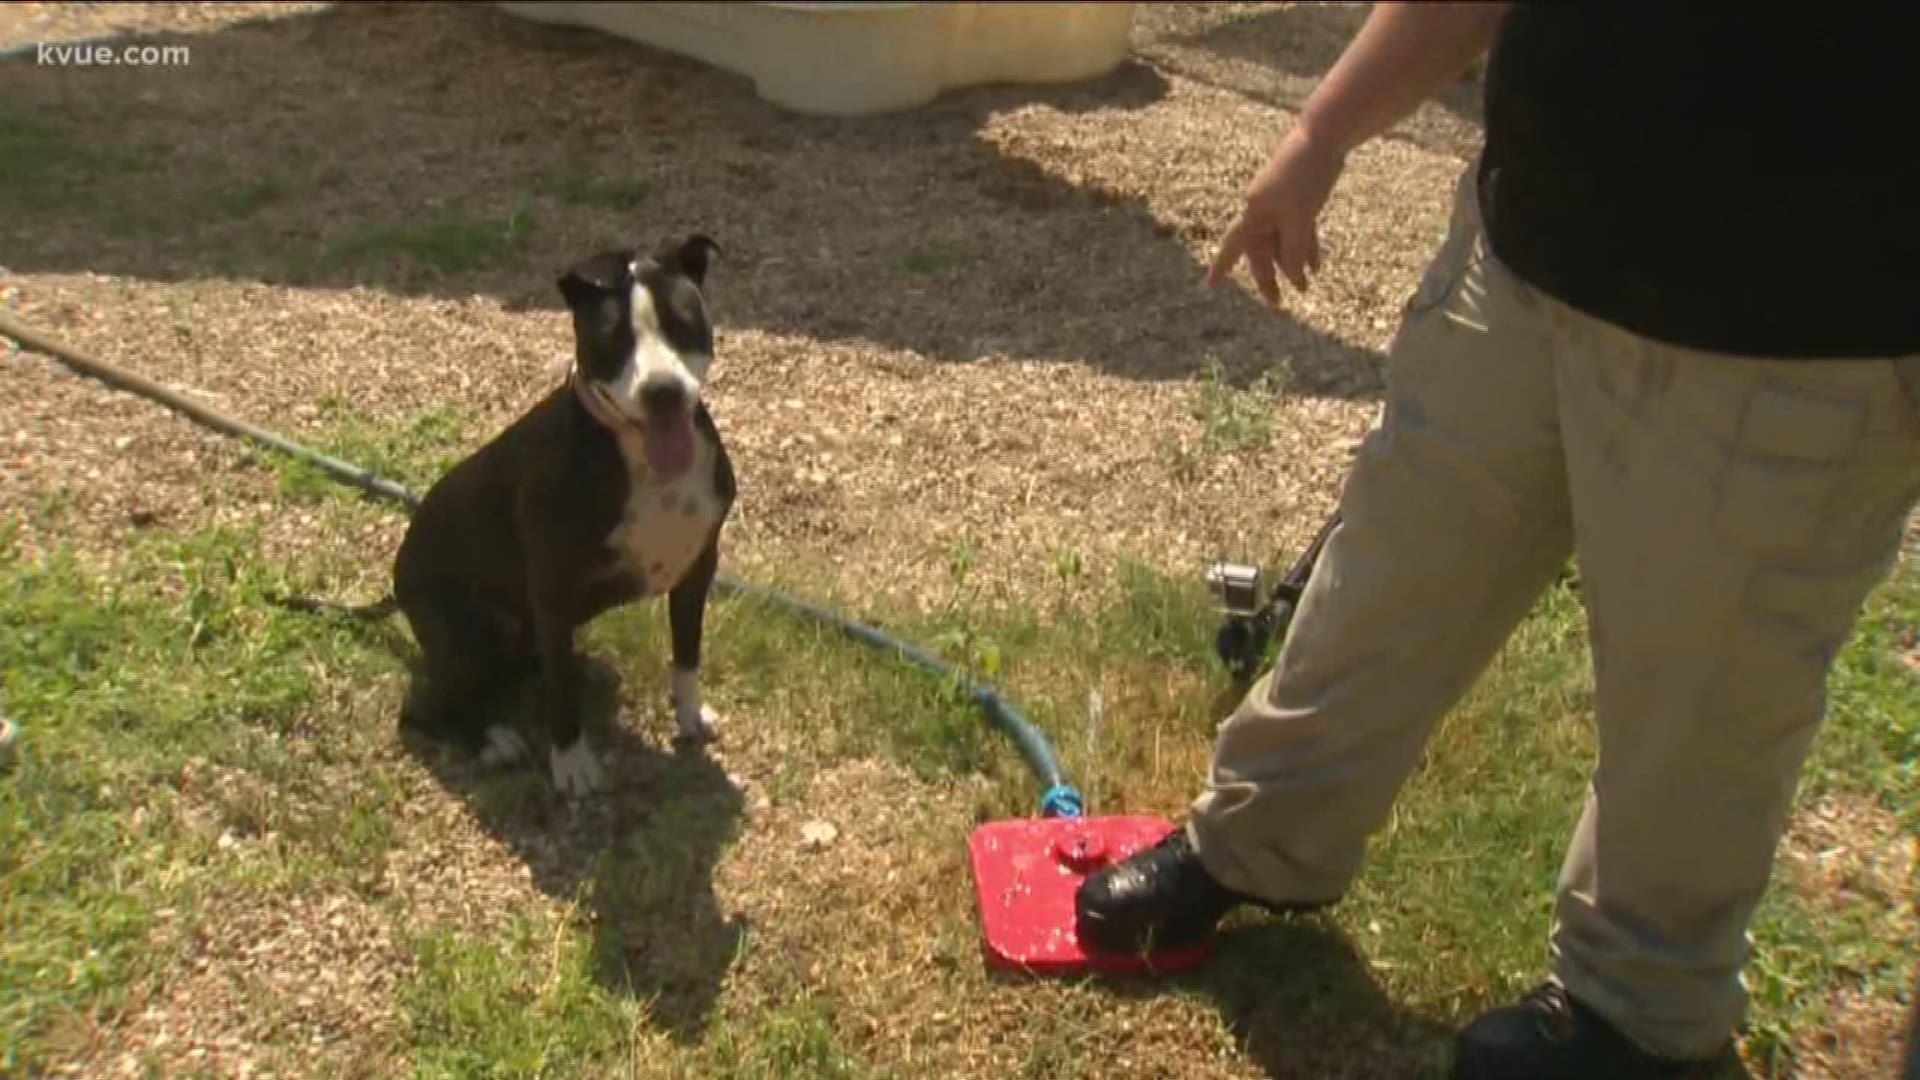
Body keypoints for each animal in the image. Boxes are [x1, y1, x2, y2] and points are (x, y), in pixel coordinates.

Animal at [368, 233, 733, 791]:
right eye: (612, 339)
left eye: (683, 322)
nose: (663, 391)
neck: (637, 457)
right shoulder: (554, 593)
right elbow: (563, 698)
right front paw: (572, 762)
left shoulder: (697, 570)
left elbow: (687, 656)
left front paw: (690, 716)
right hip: (472, 636)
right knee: (427, 709)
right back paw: (493, 739)